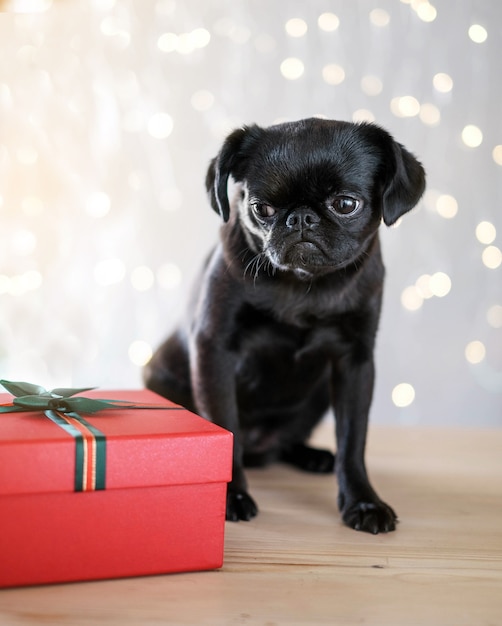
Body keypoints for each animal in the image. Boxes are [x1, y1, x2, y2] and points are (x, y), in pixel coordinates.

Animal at [144, 116, 424, 532]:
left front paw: (362, 501)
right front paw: (232, 495)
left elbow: (353, 439)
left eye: (346, 204)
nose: (301, 217)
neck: (304, 283)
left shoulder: (355, 363)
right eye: (262, 208)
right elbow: (225, 425)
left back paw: (312, 456)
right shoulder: (215, 350)